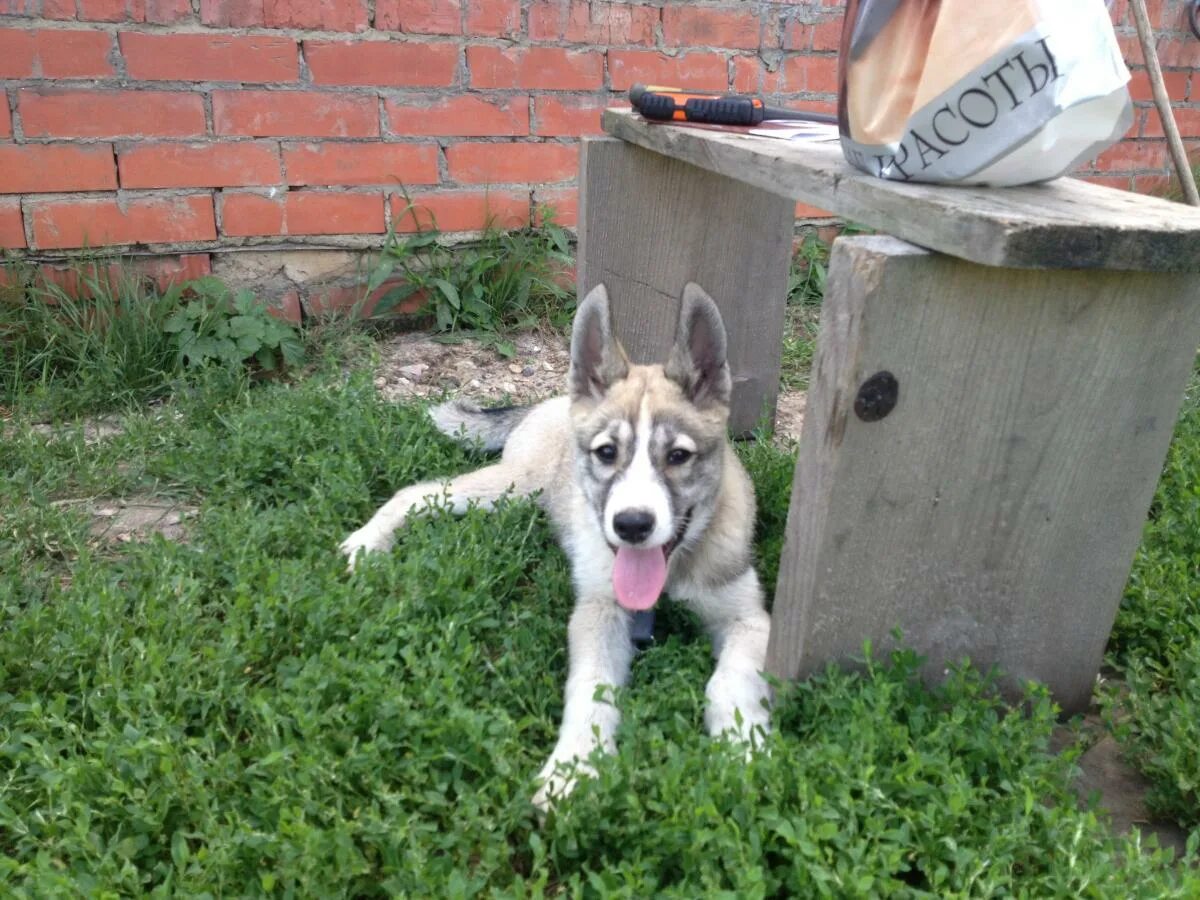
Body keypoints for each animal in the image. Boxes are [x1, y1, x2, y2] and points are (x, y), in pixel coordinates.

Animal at [340, 282, 768, 811]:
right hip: (511, 488)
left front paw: (742, 744)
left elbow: (729, 679)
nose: (631, 525)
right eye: (607, 452)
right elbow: (591, 689)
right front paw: (575, 766)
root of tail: (552, 400)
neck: (670, 577)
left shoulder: (749, 618)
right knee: (418, 492)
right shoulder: (598, 613)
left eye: (678, 456)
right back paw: (368, 540)